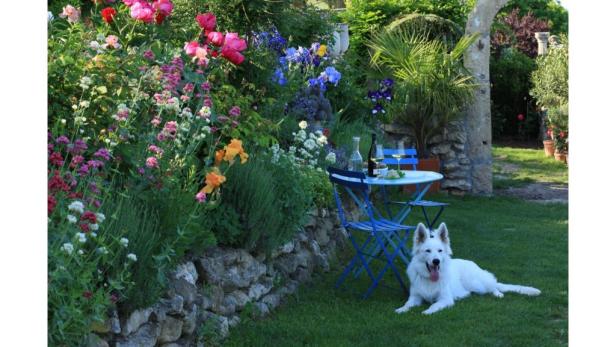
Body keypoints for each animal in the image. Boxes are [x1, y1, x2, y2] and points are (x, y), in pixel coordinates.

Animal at [394, 223, 540, 316]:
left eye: (440, 251)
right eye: (428, 251)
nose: (436, 261)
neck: (430, 280)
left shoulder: (445, 299)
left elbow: (433, 305)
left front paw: (427, 311)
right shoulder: (415, 297)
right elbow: (407, 304)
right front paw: (401, 310)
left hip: (476, 284)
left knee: (493, 286)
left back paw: (498, 294)